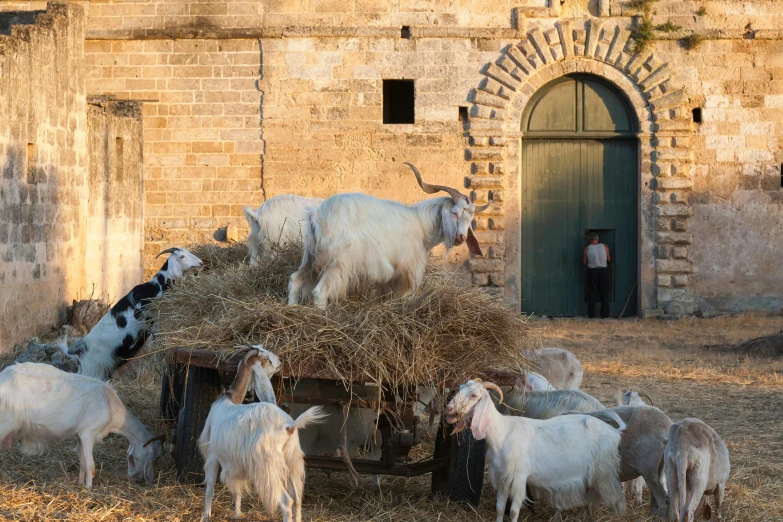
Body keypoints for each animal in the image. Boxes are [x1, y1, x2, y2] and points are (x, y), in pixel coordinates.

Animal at [0, 362, 164, 488]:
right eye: (156, 458)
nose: (136, 479)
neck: (111, 407)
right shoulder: (87, 434)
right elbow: (91, 466)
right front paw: (89, 489)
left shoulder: (79, 436)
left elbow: (83, 464)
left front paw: (80, 484)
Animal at [63, 247, 202, 378]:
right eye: (182, 256)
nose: (201, 263)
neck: (154, 289)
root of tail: (81, 351)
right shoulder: (153, 323)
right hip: (94, 369)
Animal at [202, 348, 328, 516]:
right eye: (267, 358)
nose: (280, 361)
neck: (229, 399)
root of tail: (289, 425)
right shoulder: (235, 462)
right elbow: (237, 491)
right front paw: (237, 514)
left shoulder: (213, 453)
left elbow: (210, 486)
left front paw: (206, 515)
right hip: (292, 461)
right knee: (297, 499)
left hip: (268, 468)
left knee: (286, 501)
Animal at [448, 378, 624, 520]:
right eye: (459, 388)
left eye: (474, 396)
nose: (449, 408)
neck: (503, 433)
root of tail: (613, 431)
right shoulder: (502, 478)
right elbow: (499, 508)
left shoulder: (519, 478)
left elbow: (513, 511)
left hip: (605, 472)